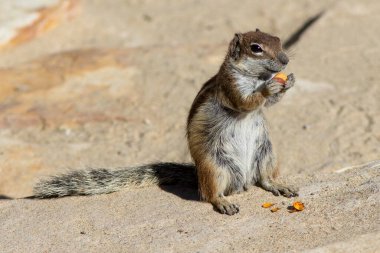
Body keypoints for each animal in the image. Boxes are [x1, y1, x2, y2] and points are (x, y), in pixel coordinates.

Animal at [33, 29, 296, 215]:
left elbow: (268, 104)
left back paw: (280, 186)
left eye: (278, 39)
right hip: (215, 168)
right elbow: (246, 102)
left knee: (264, 178)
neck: (257, 77)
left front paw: (288, 82)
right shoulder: (230, 85)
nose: (285, 60)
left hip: (267, 155)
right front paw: (270, 88)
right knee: (209, 193)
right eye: (256, 48)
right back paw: (223, 202)